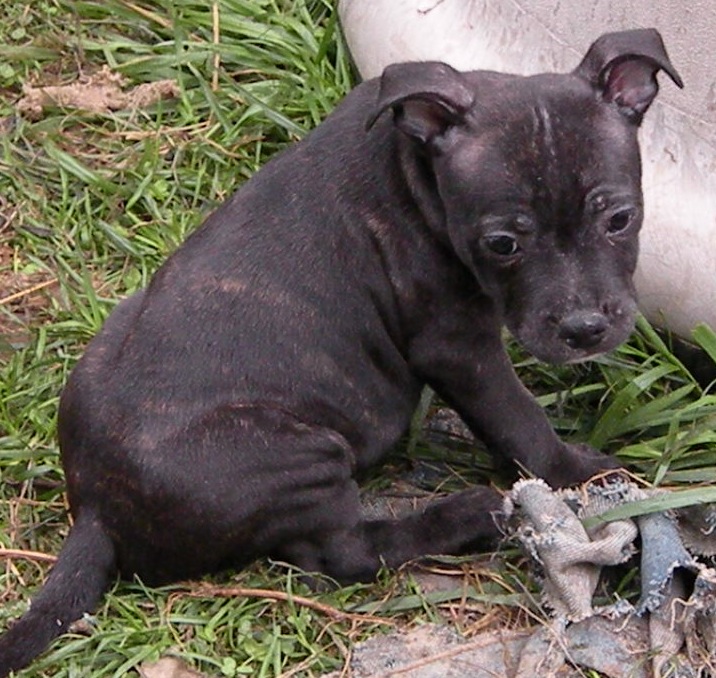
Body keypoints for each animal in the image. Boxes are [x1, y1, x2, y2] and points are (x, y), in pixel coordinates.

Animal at [0, 29, 684, 676]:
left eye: (620, 219)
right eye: (502, 244)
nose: (585, 328)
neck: (416, 171)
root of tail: (94, 509)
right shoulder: (457, 347)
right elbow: (519, 420)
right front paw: (581, 474)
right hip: (292, 453)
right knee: (343, 553)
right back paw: (464, 516)